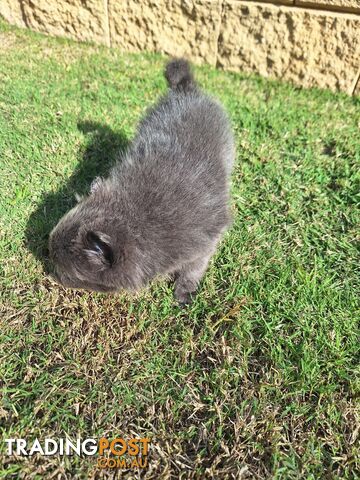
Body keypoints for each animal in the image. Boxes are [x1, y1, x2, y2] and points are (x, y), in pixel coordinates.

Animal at [49, 59, 235, 304]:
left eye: (67, 273)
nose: (50, 272)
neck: (140, 216)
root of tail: (185, 90)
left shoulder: (205, 243)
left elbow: (193, 269)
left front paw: (184, 292)